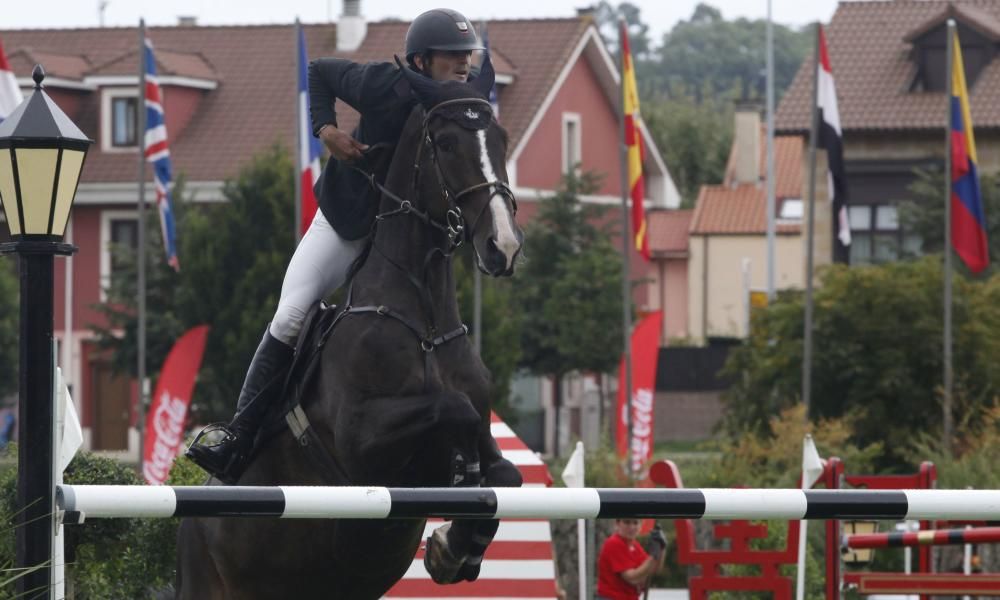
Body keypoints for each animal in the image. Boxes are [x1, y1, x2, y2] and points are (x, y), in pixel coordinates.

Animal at [177, 61, 528, 600]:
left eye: (501, 139)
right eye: (447, 143)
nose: (502, 247)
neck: (426, 323)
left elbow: (504, 474)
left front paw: (453, 548)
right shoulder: (363, 442)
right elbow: (453, 408)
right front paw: (458, 495)